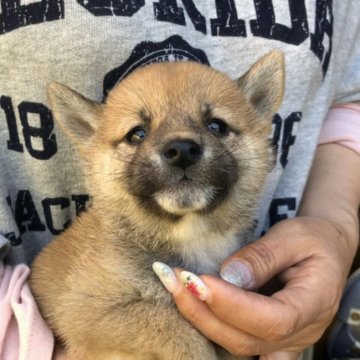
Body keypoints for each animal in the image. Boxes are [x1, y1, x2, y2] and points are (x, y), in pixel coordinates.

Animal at [29, 51, 286, 360]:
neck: (192, 236)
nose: (182, 150)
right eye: (137, 134)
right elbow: (170, 325)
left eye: (216, 126)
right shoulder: (86, 310)